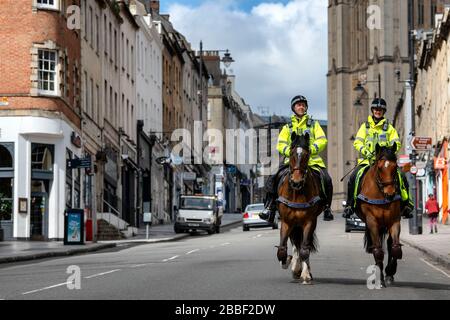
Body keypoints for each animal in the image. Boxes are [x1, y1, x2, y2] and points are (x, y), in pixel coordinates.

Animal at [276, 131, 326, 284]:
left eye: (307, 154)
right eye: (291, 153)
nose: (296, 182)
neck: (297, 192)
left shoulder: (309, 222)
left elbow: (305, 249)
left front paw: (305, 274)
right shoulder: (286, 222)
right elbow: (282, 250)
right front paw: (288, 261)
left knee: (304, 245)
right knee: (295, 244)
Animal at [356, 143, 402, 288]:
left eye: (395, 166)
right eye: (380, 167)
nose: (390, 193)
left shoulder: (394, 220)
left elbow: (395, 248)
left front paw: (390, 272)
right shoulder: (372, 222)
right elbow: (378, 251)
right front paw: (380, 279)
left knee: (390, 244)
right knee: (377, 247)